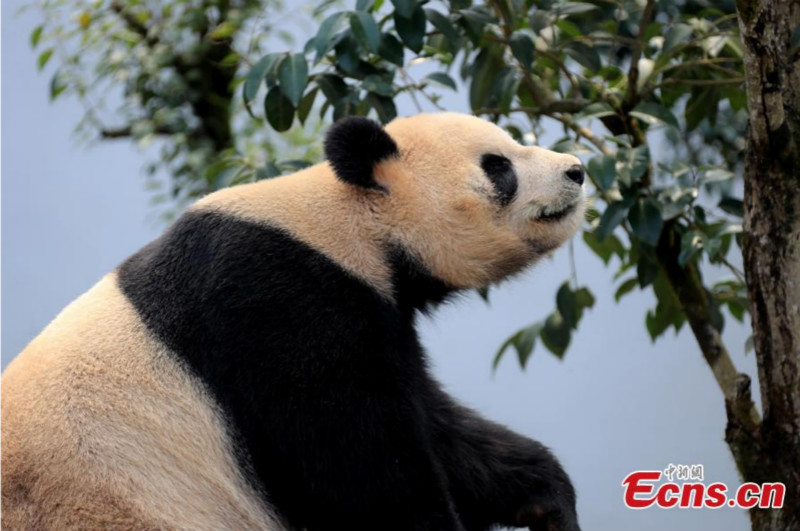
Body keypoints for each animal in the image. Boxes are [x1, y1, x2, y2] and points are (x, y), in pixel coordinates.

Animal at [0, 113, 588, 531]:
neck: (348, 222)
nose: (577, 170)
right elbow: (361, 469)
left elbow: (443, 432)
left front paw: (545, 500)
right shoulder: (280, 305)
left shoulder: (375, 315)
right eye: (498, 165)